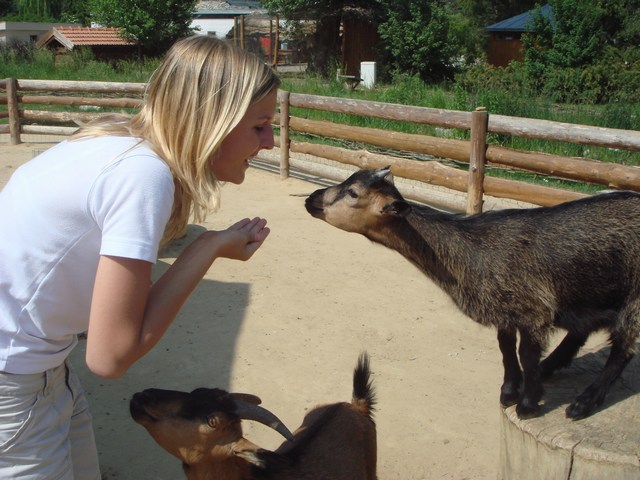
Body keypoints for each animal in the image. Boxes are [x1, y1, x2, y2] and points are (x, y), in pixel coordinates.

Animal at [304, 166, 640, 420]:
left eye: (352, 193)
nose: (311, 198)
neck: (473, 249)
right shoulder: (504, 308)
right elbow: (505, 347)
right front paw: (509, 391)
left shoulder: (533, 309)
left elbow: (526, 353)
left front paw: (528, 405)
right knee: (582, 333)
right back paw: (552, 369)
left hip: (633, 298)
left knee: (621, 349)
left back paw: (584, 402)